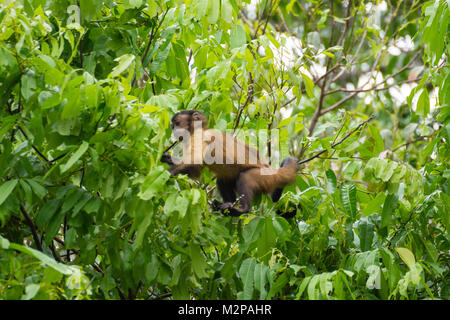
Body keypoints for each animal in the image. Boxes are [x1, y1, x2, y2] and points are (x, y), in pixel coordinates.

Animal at [160, 110, 300, 218]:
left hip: (266, 176)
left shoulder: (200, 137)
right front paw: (167, 159)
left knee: (245, 177)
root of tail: (272, 169)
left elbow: (195, 162)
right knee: (223, 180)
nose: (174, 130)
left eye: (177, 124)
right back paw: (229, 205)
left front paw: (165, 174)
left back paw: (242, 209)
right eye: (173, 126)